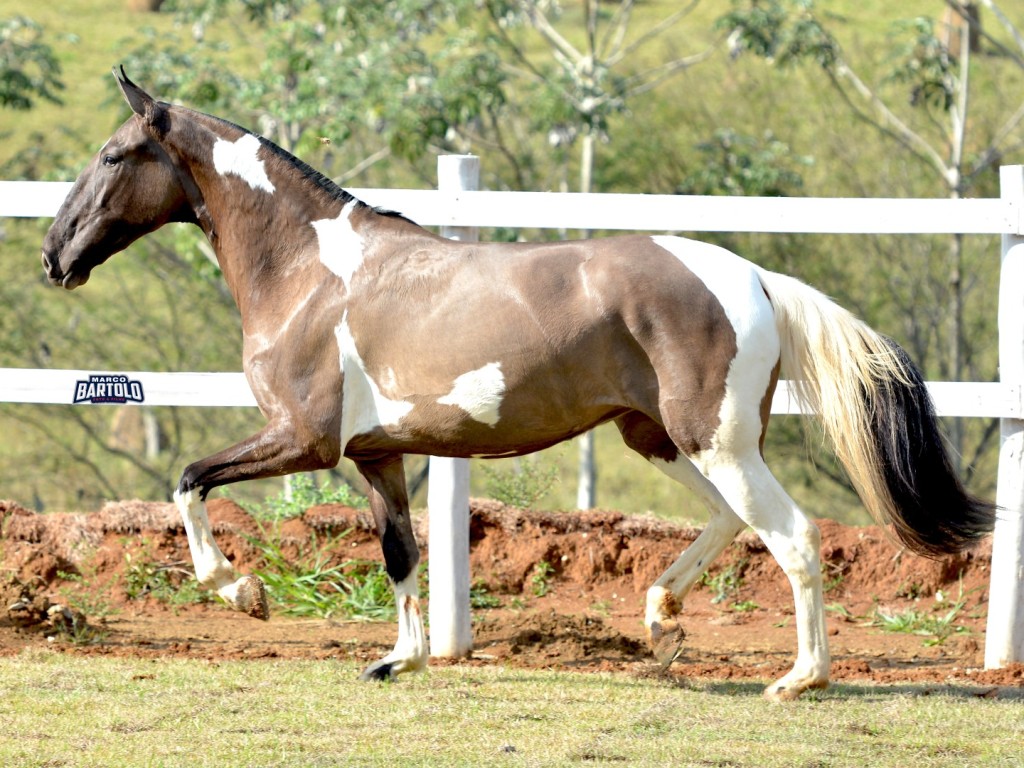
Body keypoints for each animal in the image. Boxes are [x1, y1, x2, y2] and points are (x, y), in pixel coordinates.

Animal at [44, 72, 995, 704]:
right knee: (731, 521)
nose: (55, 256)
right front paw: (398, 660)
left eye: (112, 155)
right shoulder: (377, 455)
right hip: (661, 437)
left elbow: (189, 482)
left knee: (792, 535)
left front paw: (243, 594)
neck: (312, 271)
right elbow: (401, 554)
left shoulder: (304, 439)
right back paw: (661, 615)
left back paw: (800, 678)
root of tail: (755, 277)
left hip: (715, 441)